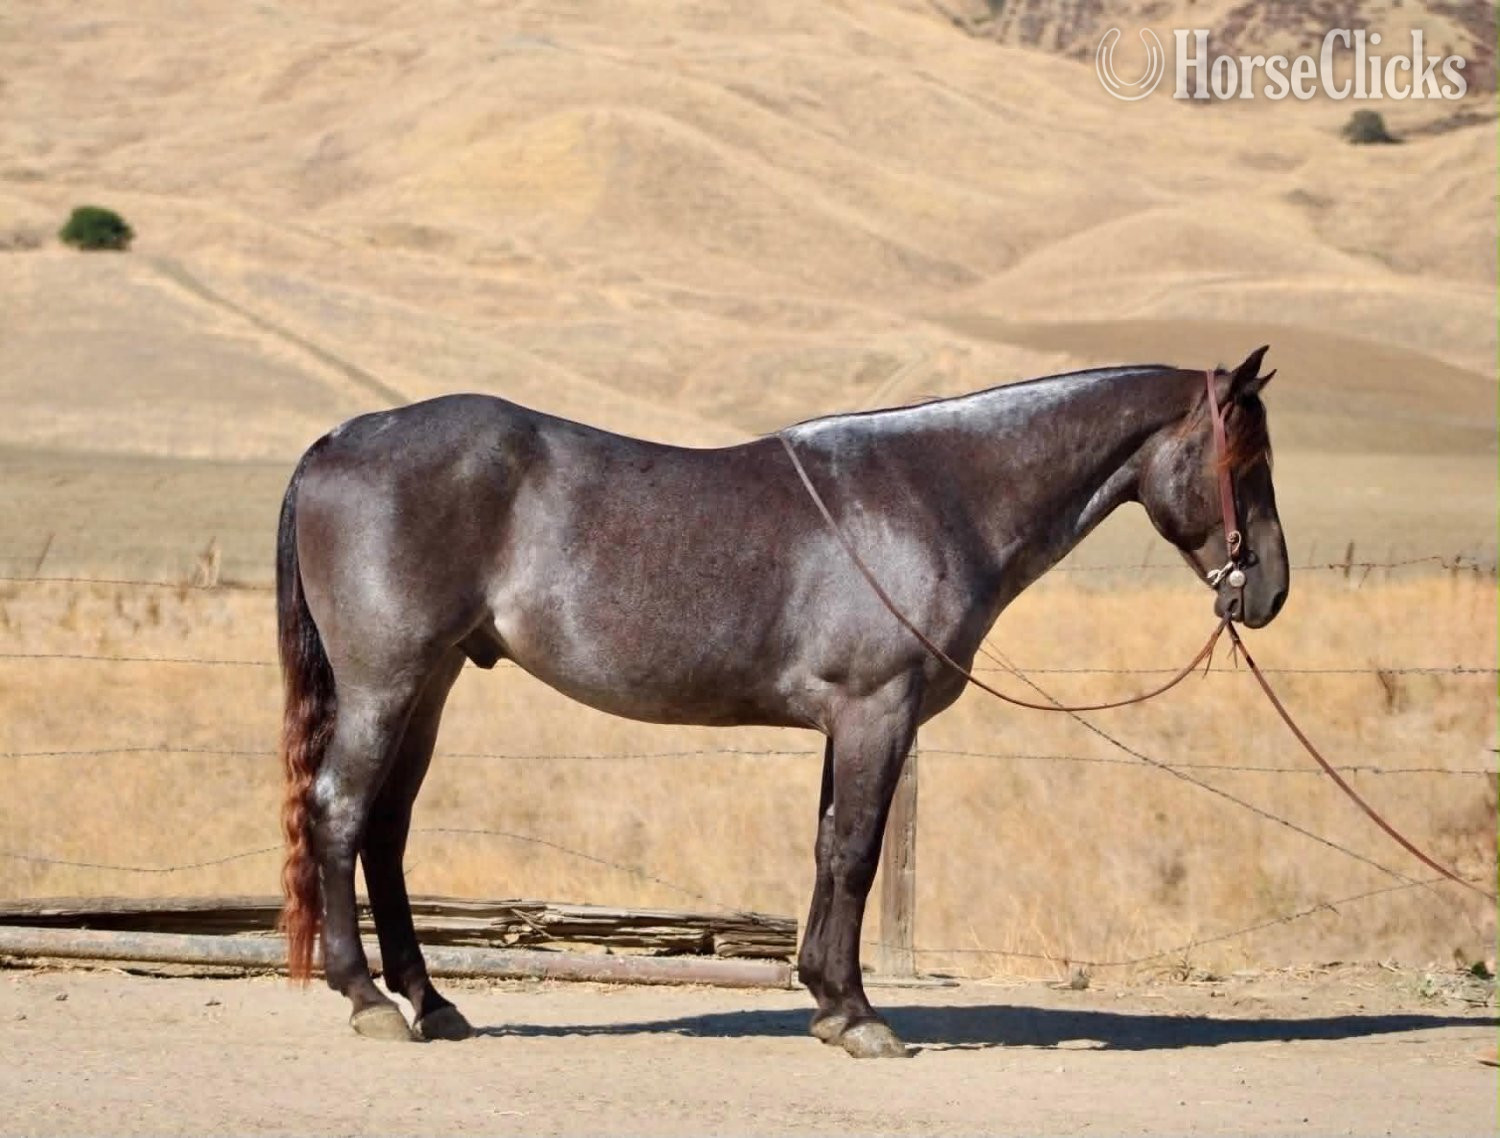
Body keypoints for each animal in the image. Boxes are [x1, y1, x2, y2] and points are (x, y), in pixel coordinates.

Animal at [275, 346, 1287, 1058]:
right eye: (1247, 459)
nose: (1269, 590)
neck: (938, 493)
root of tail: (340, 439)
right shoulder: (877, 712)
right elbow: (856, 854)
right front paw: (861, 1016)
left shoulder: (849, 724)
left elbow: (828, 847)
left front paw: (829, 1001)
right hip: (387, 682)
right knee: (339, 813)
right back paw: (368, 998)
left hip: (432, 682)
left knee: (386, 829)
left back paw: (432, 1001)